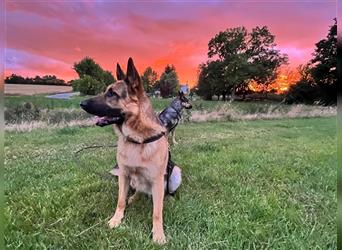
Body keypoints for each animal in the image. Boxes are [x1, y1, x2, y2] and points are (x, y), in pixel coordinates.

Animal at [80, 57, 171, 243]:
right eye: (106, 91)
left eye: (112, 93)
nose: (81, 103)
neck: (137, 139)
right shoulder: (124, 175)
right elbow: (120, 201)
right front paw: (116, 219)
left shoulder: (158, 181)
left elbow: (157, 212)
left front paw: (158, 234)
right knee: (137, 191)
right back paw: (133, 198)